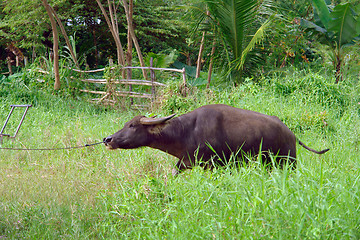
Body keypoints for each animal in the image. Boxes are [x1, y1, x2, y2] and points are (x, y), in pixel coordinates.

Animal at [103, 104, 330, 175]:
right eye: (126, 123)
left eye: (132, 126)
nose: (108, 139)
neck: (186, 132)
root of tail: (291, 134)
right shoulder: (185, 162)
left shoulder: (216, 165)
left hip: (288, 162)